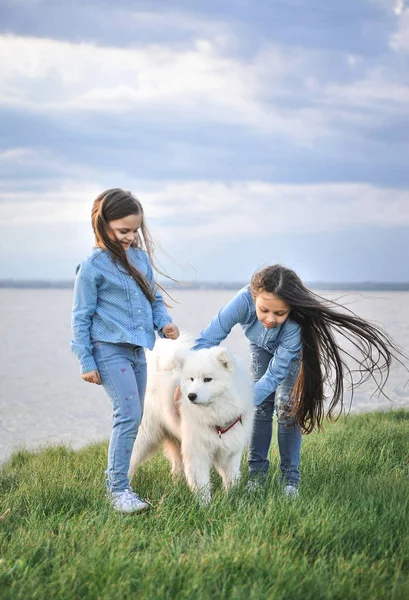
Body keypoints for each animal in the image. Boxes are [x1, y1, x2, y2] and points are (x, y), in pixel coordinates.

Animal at [129, 336, 253, 504]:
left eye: (208, 379)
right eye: (192, 379)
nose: (191, 396)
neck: (217, 418)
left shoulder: (230, 451)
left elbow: (231, 478)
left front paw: (233, 497)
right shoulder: (197, 451)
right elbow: (201, 482)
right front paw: (205, 504)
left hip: (176, 440)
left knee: (176, 467)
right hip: (145, 436)